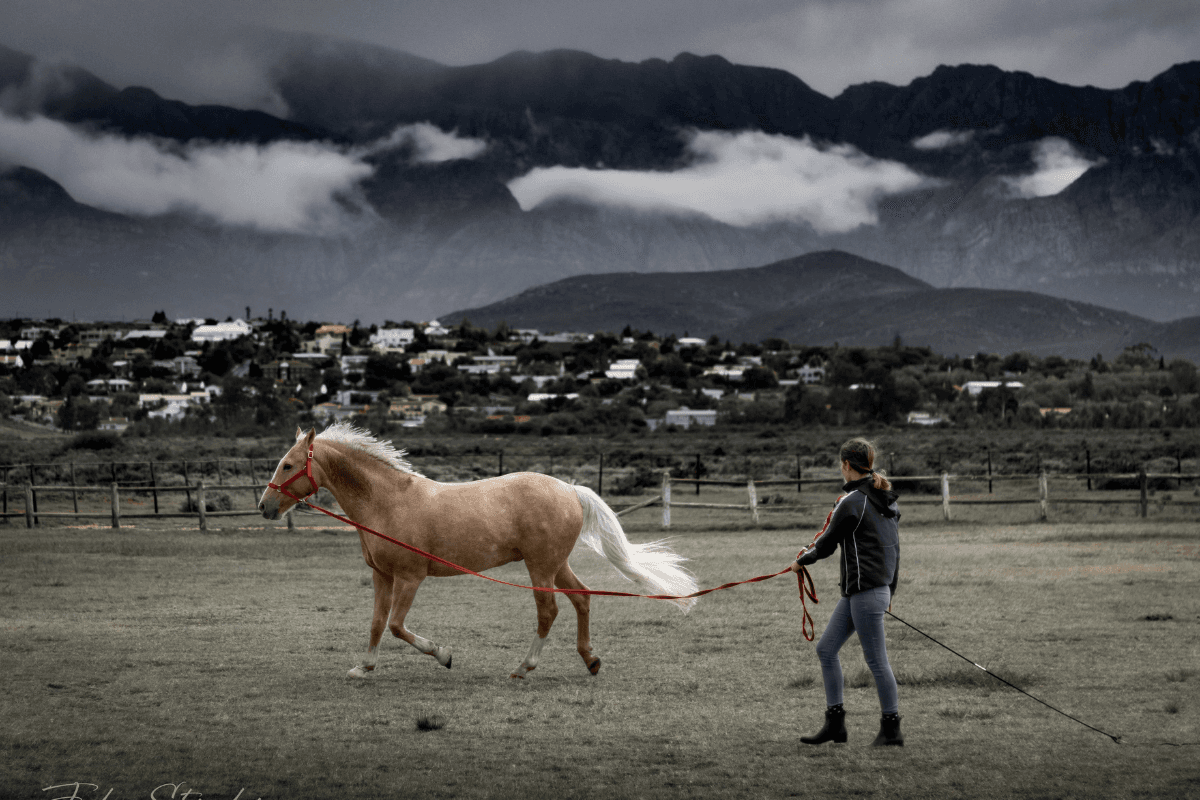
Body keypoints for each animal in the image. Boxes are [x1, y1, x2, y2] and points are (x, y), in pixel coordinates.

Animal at [258, 422, 697, 679]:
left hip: (540, 566)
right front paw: (363, 668)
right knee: (582, 598)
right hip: (556, 564)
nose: (264, 506)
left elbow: (398, 626)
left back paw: (523, 668)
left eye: (288, 464)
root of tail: (570, 489)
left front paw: (444, 654)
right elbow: (377, 624)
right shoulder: (382, 576)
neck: (387, 502)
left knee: (549, 610)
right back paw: (590, 660)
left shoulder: (410, 578)